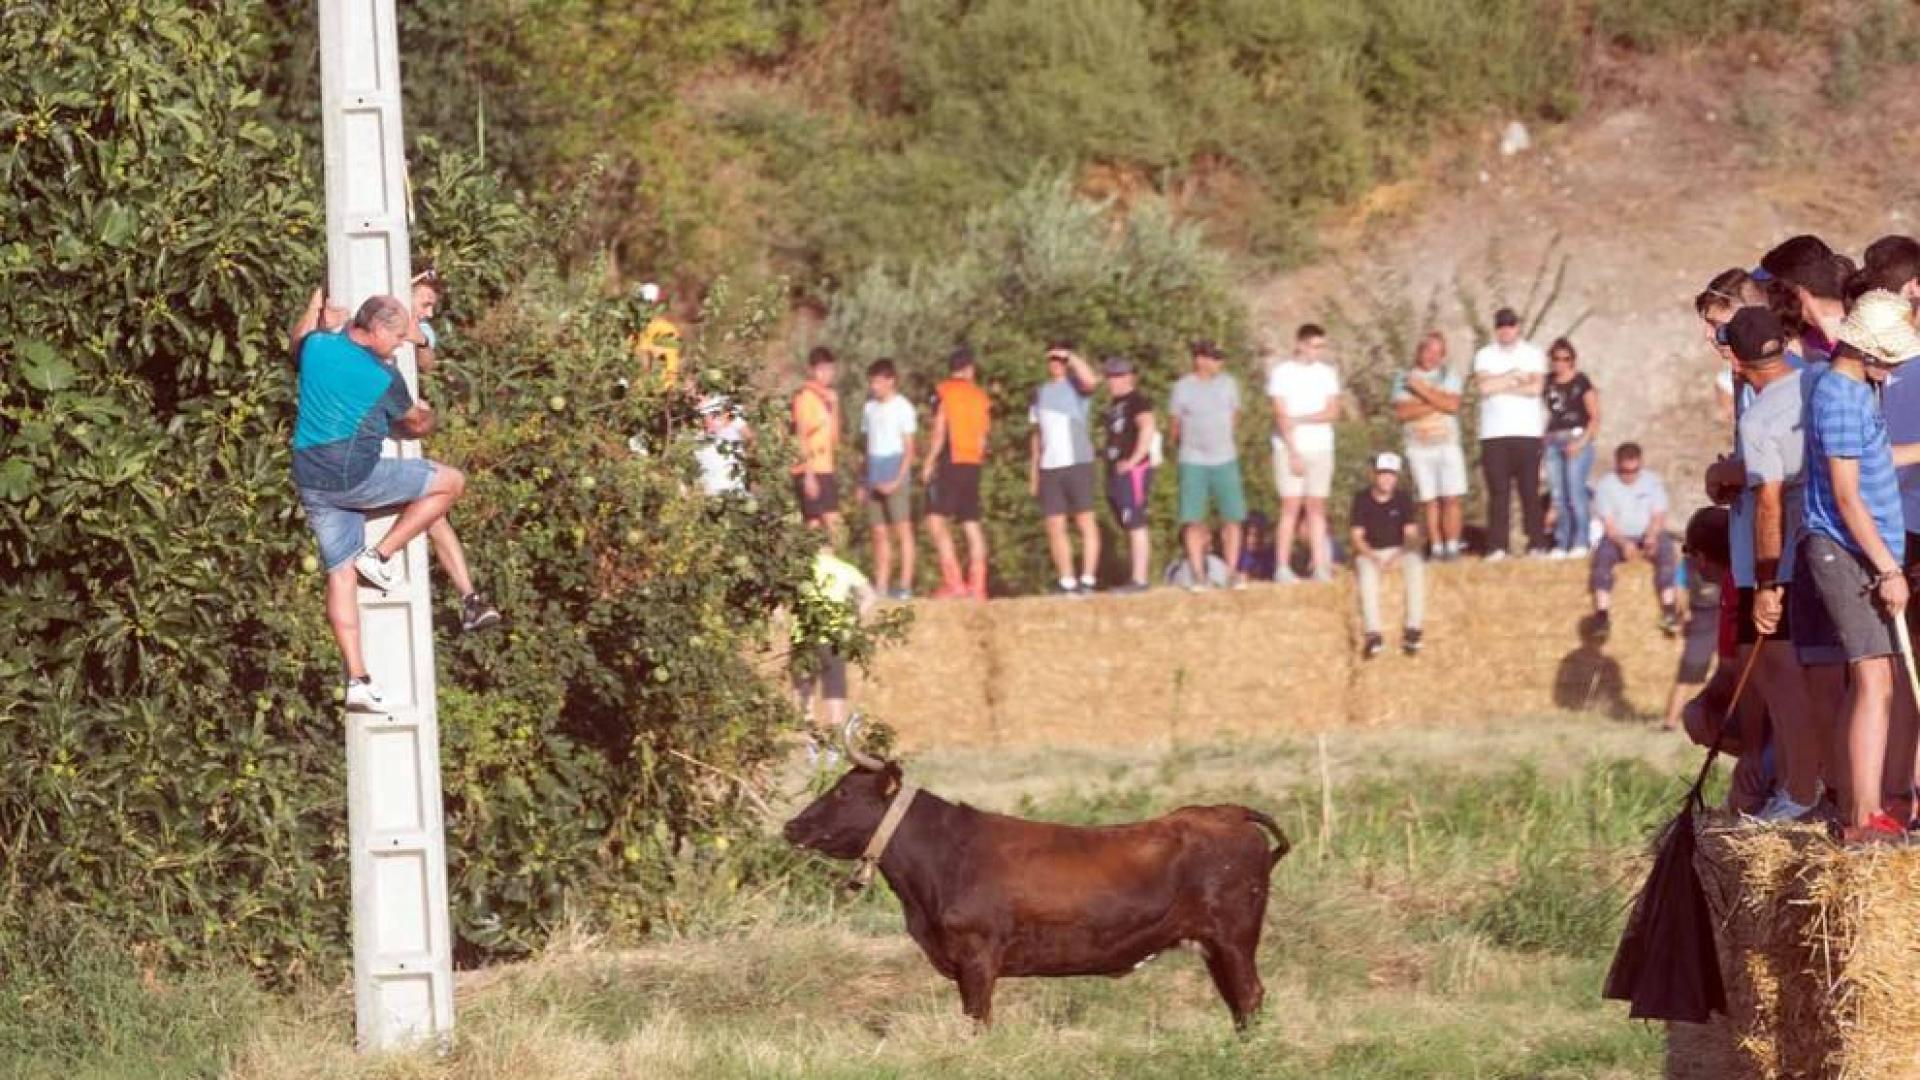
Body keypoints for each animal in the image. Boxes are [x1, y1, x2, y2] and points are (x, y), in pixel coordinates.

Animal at [782, 719, 1292, 1029]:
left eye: (844, 791)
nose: (791, 826)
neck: (944, 857)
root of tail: (1228, 811)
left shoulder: (977, 958)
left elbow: (977, 1022)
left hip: (1234, 938)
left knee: (1250, 997)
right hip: (1215, 946)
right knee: (1239, 1004)